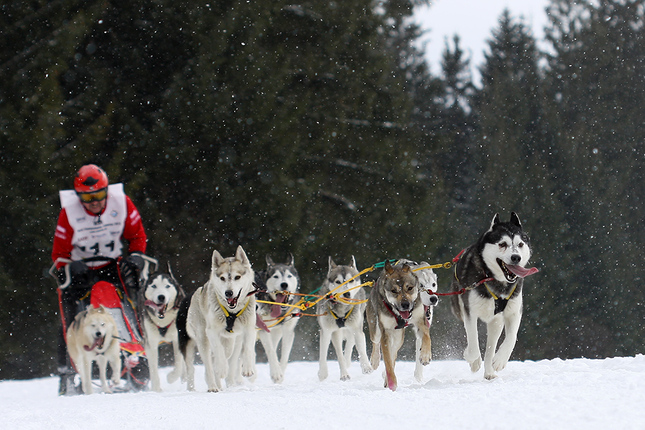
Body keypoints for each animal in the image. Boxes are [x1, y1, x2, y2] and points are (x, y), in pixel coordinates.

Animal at [179, 245, 256, 394]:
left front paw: (248, 369)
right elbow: (218, 352)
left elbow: (248, 347)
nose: (228, 293)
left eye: (237, 277)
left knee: (226, 354)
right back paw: (213, 385)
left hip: (231, 341)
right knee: (208, 364)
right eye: (222, 278)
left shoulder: (249, 328)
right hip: (202, 339)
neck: (232, 312)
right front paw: (221, 369)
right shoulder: (211, 331)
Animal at [253, 254, 300, 382]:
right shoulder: (263, 329)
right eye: (276, 276)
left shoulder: (287, 330)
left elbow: (284, 355)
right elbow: (270, 350)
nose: (284, 284)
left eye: (289, 276)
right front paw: (276, 373)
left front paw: (279, 372)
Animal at [368, 260, 432, 392]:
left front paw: (425, 355)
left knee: (393, 354)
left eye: (410, 288)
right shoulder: (385, 332)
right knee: (376, 343)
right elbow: (387, 362)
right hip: (375, 329)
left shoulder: (420, 320)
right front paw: (392, 384)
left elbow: (426, 336)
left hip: (398, 339)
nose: (405, 304)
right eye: (394, 290)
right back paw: (375, 360)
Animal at [452, 213, 540, 378]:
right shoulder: (469, 312)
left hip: (496, 322)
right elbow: (473, 341)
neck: (495, 280)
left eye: (520, 244)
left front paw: (500, 360)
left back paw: (489, 371)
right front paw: (472, 359)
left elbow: (512, 337)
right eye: (502, 244)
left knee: (490, 348)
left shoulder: (513, 312)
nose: (516, 257)